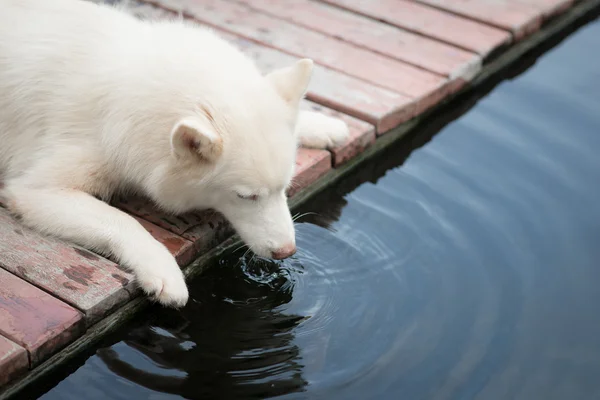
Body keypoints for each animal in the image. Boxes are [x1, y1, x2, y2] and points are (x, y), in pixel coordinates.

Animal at [0, 0, 346, 306]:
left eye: (285, 188)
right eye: (246, 197)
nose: (287, 252)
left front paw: (323, 124)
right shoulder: (36, 189)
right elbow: (123, 220)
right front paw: (163, 270)